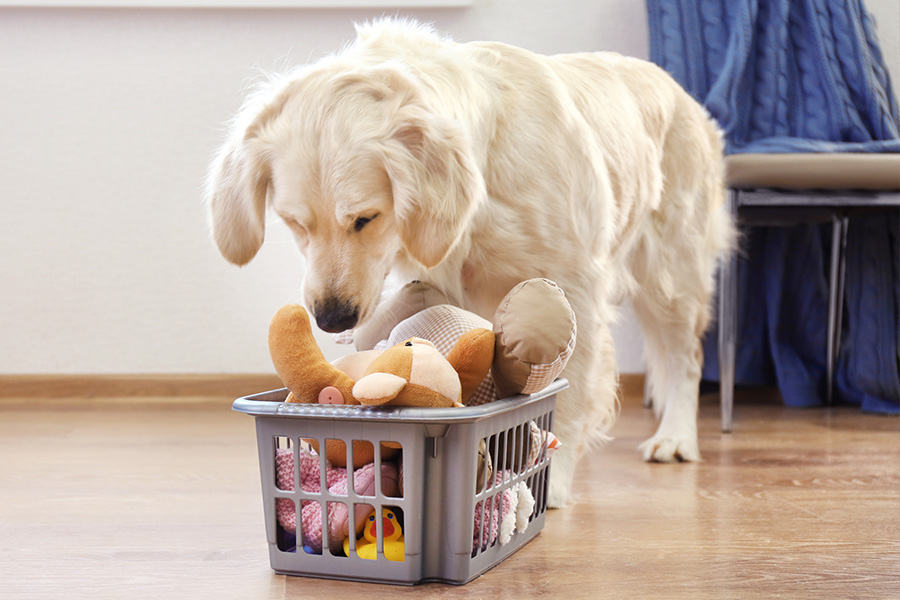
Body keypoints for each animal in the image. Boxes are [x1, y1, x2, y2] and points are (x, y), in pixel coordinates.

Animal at [207, 18, 736, 506]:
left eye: (365, 218)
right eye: (294, 222)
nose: (332, 318)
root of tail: (677, 88)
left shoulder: (576, 288)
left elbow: (566, 393)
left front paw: (552, 479)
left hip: (671, 272)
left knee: (686, 358)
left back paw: (676, 436)